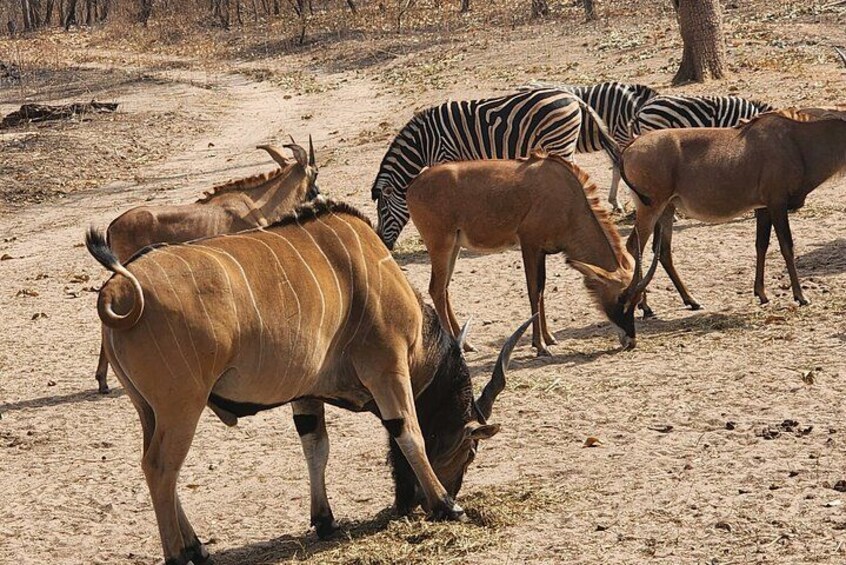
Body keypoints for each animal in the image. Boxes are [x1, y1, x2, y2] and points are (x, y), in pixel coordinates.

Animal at [372, 88, 621, 249]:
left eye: (383, 211)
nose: (383, 243)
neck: (423, 142)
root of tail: (572, 97)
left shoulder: (446, 155)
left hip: (558, 141)